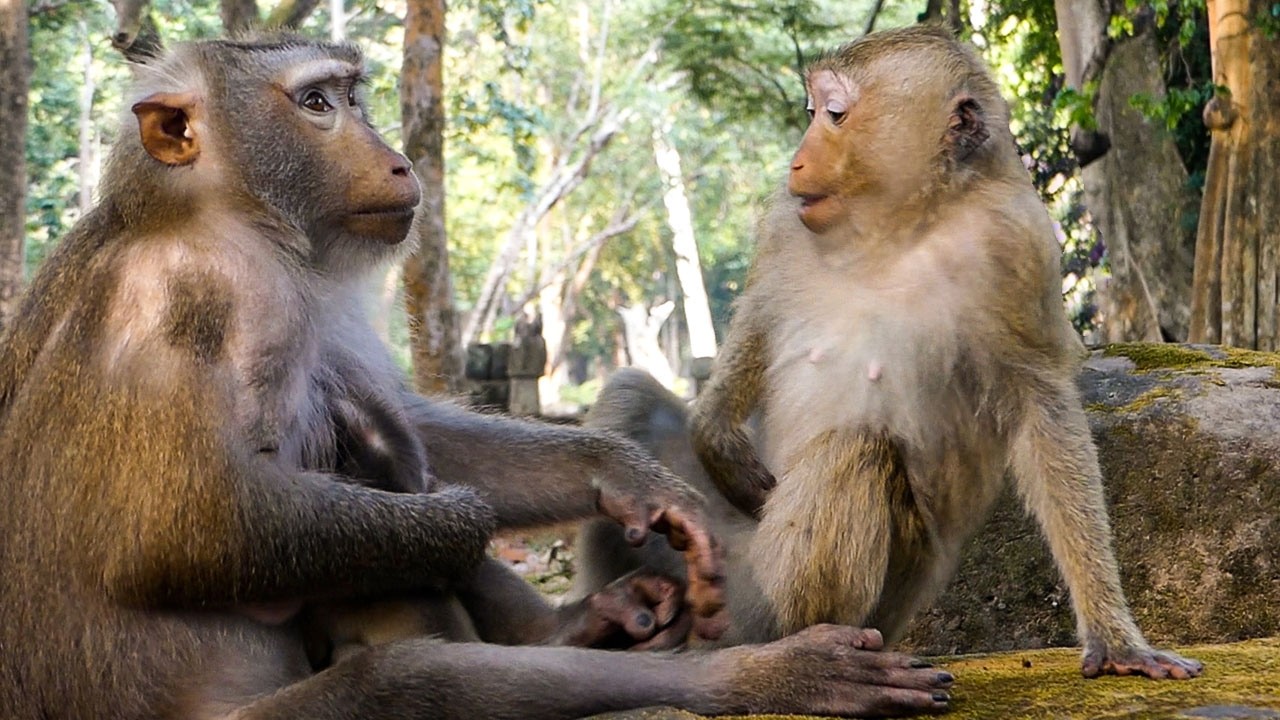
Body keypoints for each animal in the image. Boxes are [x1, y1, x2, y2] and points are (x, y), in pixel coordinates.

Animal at [0, 35, 955, 719]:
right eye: (316, 104)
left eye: (351, 96)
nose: (396, 160)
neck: (218, 211)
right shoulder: (201, 293)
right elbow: (184, 531)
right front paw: (455, 515)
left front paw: (620, 474)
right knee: (403, 675)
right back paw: (748, 678)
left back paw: (576, 625)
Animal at [574, 25, 1203, 682]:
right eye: (813, 113)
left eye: (834, 113)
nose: (796, 158)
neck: (900, 225)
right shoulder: (789, 221)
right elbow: (761, 315)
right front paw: (715, 428)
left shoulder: (1018, 247)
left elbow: (1042, 408)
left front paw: (1116, 637)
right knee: (632, 398)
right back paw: (612, 625)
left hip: (768, 593)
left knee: (858, 452)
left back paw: (804, 646)